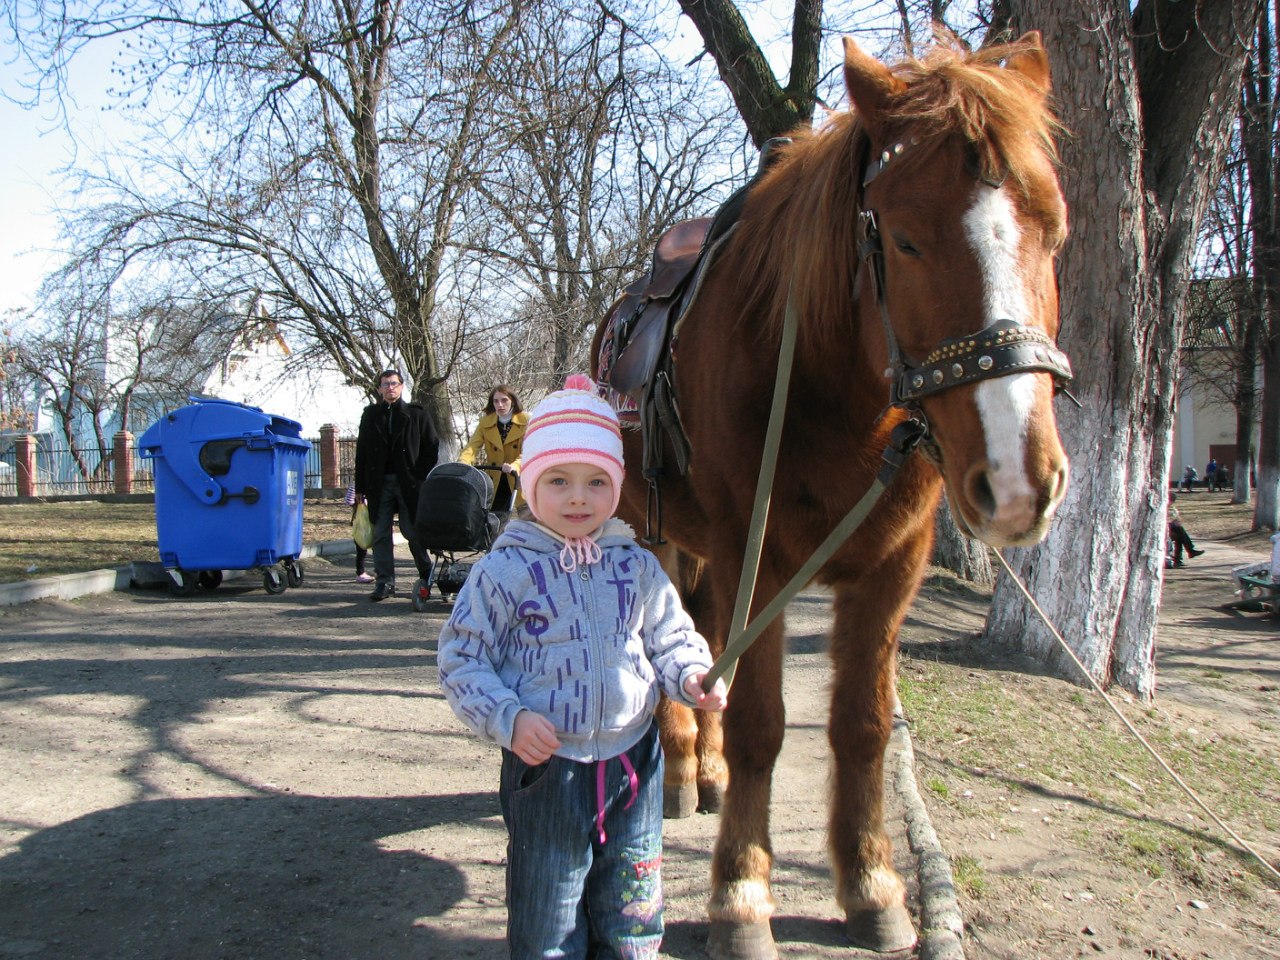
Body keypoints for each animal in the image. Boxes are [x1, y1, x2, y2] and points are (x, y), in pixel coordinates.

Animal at [592, 32, 1071, 960]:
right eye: (908, 241)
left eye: (1055, 231)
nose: (1018, 480)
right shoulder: (758, 557)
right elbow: (763, 722)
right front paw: (741, 896)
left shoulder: (892, 570)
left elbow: (862, 727)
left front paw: (871, 885)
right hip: (667, 535)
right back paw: (682, 767)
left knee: (707, 642)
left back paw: (705, 769)